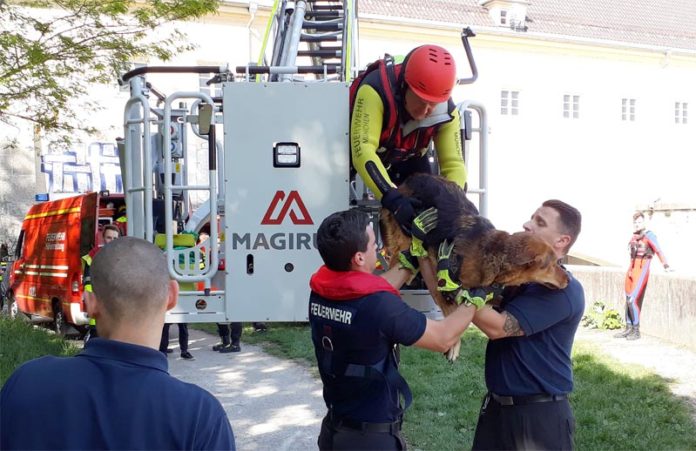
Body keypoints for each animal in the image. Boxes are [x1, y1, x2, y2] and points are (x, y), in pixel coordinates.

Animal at [348, 44, 468, 235]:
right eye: (421, 101)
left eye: (432, 105)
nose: (427, 111)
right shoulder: (371, 92)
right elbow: (365, 147)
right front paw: (400, 204)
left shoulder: (452, 113)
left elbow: (453, 161)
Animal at [380, 175, 572, 362]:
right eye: (553, 264)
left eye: (558, 261)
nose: (569, 278)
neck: (495, 253)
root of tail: (410, 179)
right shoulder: (438, 279)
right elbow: (449, 309)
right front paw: (454, 345)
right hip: (401, 241)